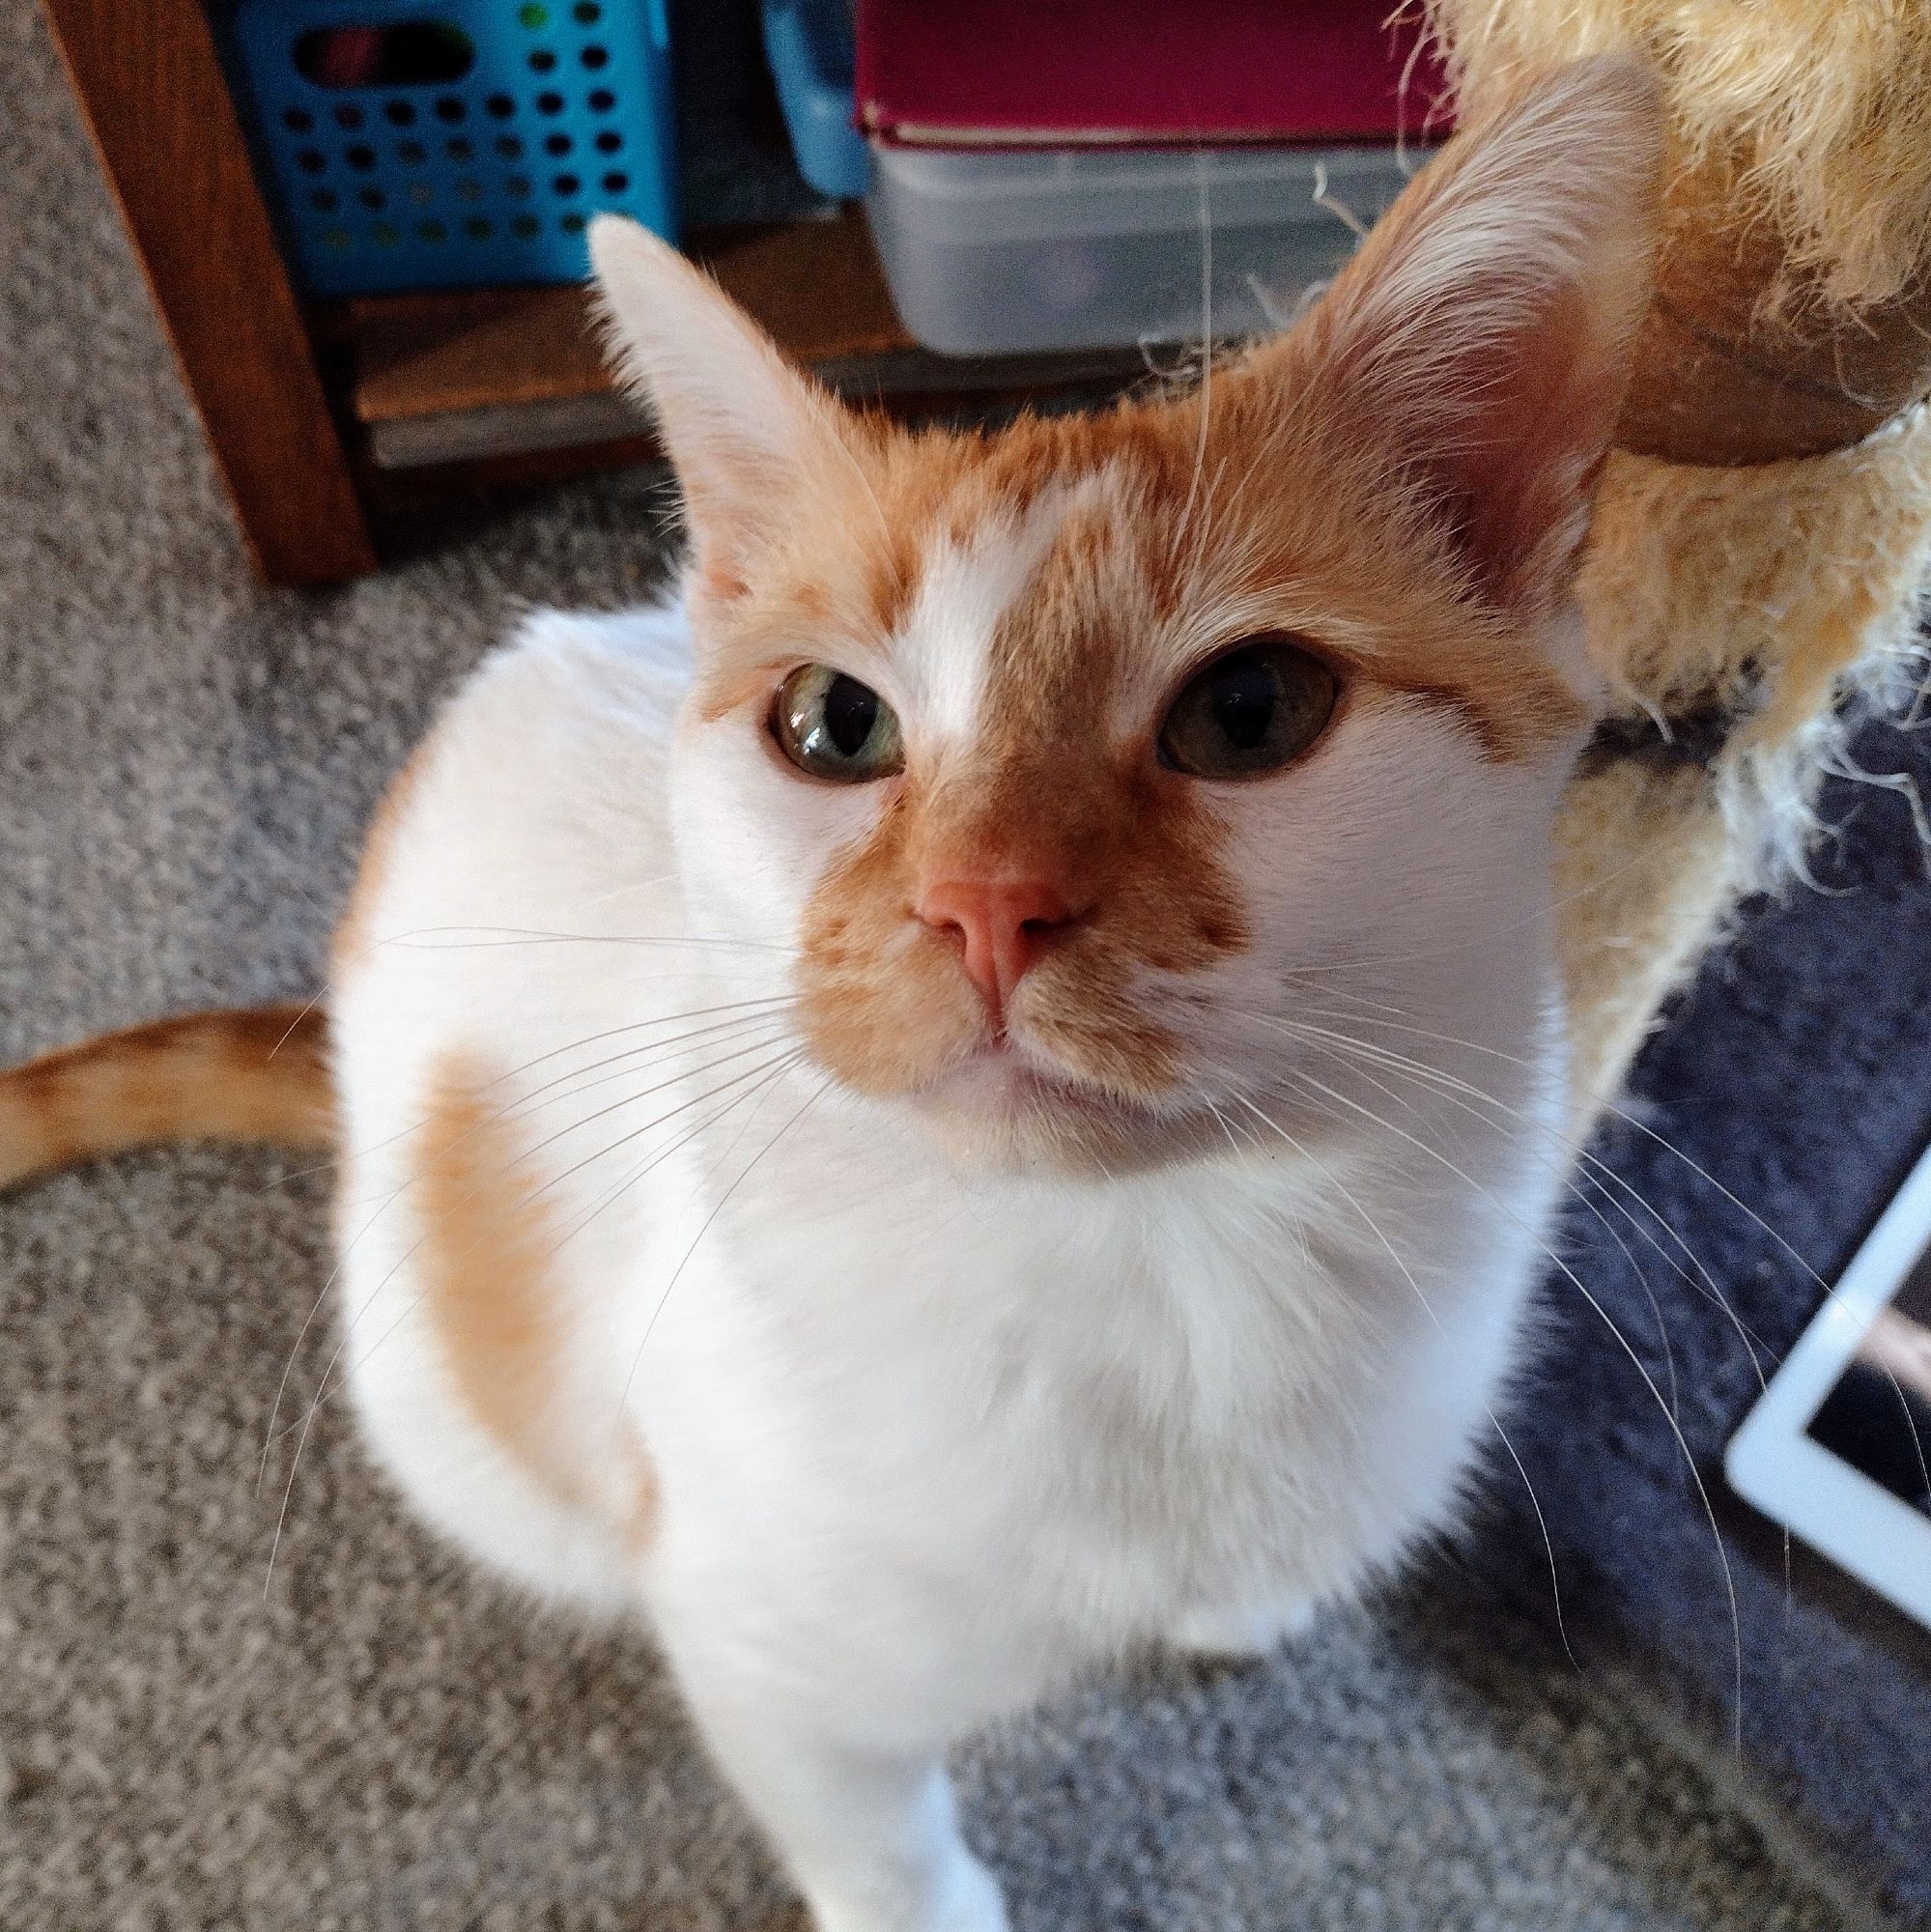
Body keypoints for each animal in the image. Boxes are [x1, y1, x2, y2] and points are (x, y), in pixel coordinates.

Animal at [0, 60, 1661, 1932]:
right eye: (829, 725)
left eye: (1250, 712)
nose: (983, 902)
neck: (1151, 1276)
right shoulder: (753, 1640)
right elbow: (874, 1832)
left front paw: (1237, 1609)